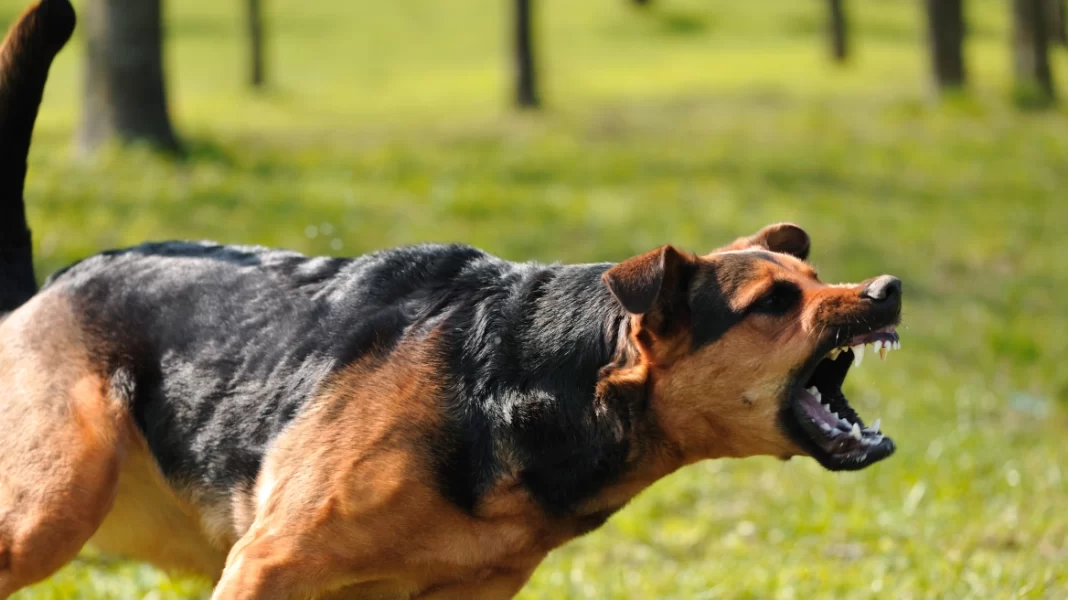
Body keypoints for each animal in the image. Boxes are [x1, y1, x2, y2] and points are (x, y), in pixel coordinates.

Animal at [0, 2, 901, 593]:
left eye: (816, 280)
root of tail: (40, 292)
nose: (888, 290)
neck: (535, 386)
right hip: (51, 508)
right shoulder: (265, 564)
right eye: (774, 302)